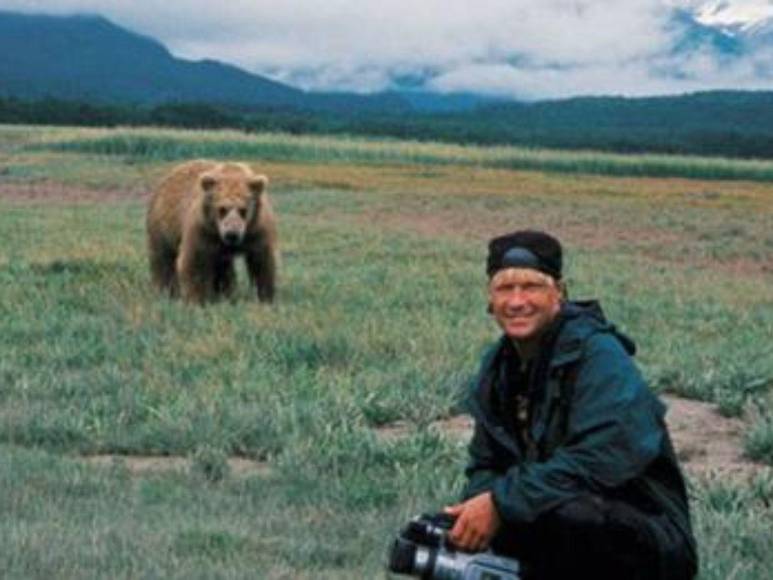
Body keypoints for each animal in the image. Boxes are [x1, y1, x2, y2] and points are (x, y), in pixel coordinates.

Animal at [146, 160, 278, 304]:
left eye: (243, 210)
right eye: (222, 209)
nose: (232, 234)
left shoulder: (257, 230)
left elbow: (262, 262)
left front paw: (266, 298)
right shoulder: (203, 229)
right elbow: (195, 262)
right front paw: (196, 300)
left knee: (223, 268)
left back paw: (225, 293)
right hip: (163, 226)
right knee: (162, 258)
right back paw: (166, 291)